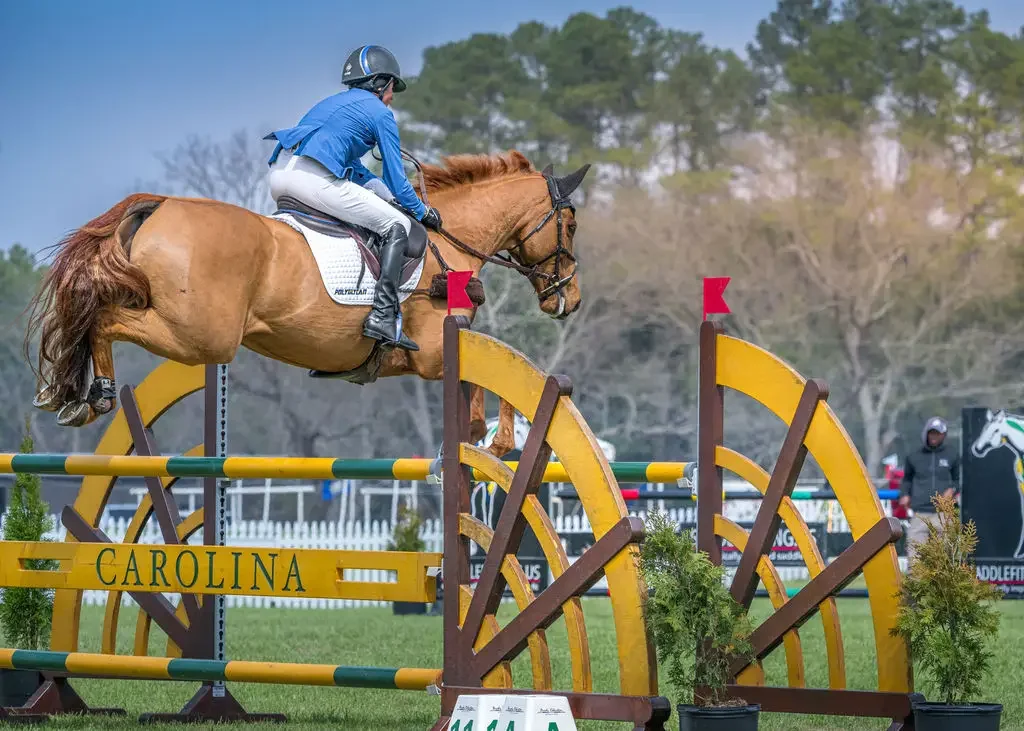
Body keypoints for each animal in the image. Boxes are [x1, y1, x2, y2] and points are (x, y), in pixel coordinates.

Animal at [25, 150, 591, 454]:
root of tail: (161, 205)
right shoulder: (434, 353)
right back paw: (95, 393)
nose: (571, 299)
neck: (447, 241)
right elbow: (495, 374)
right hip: (198, 336)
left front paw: (479, 437)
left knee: (98, 316)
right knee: (104, 320)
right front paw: (496, 440)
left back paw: (78, 397)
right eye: (570, 222)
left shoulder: (414, 359)